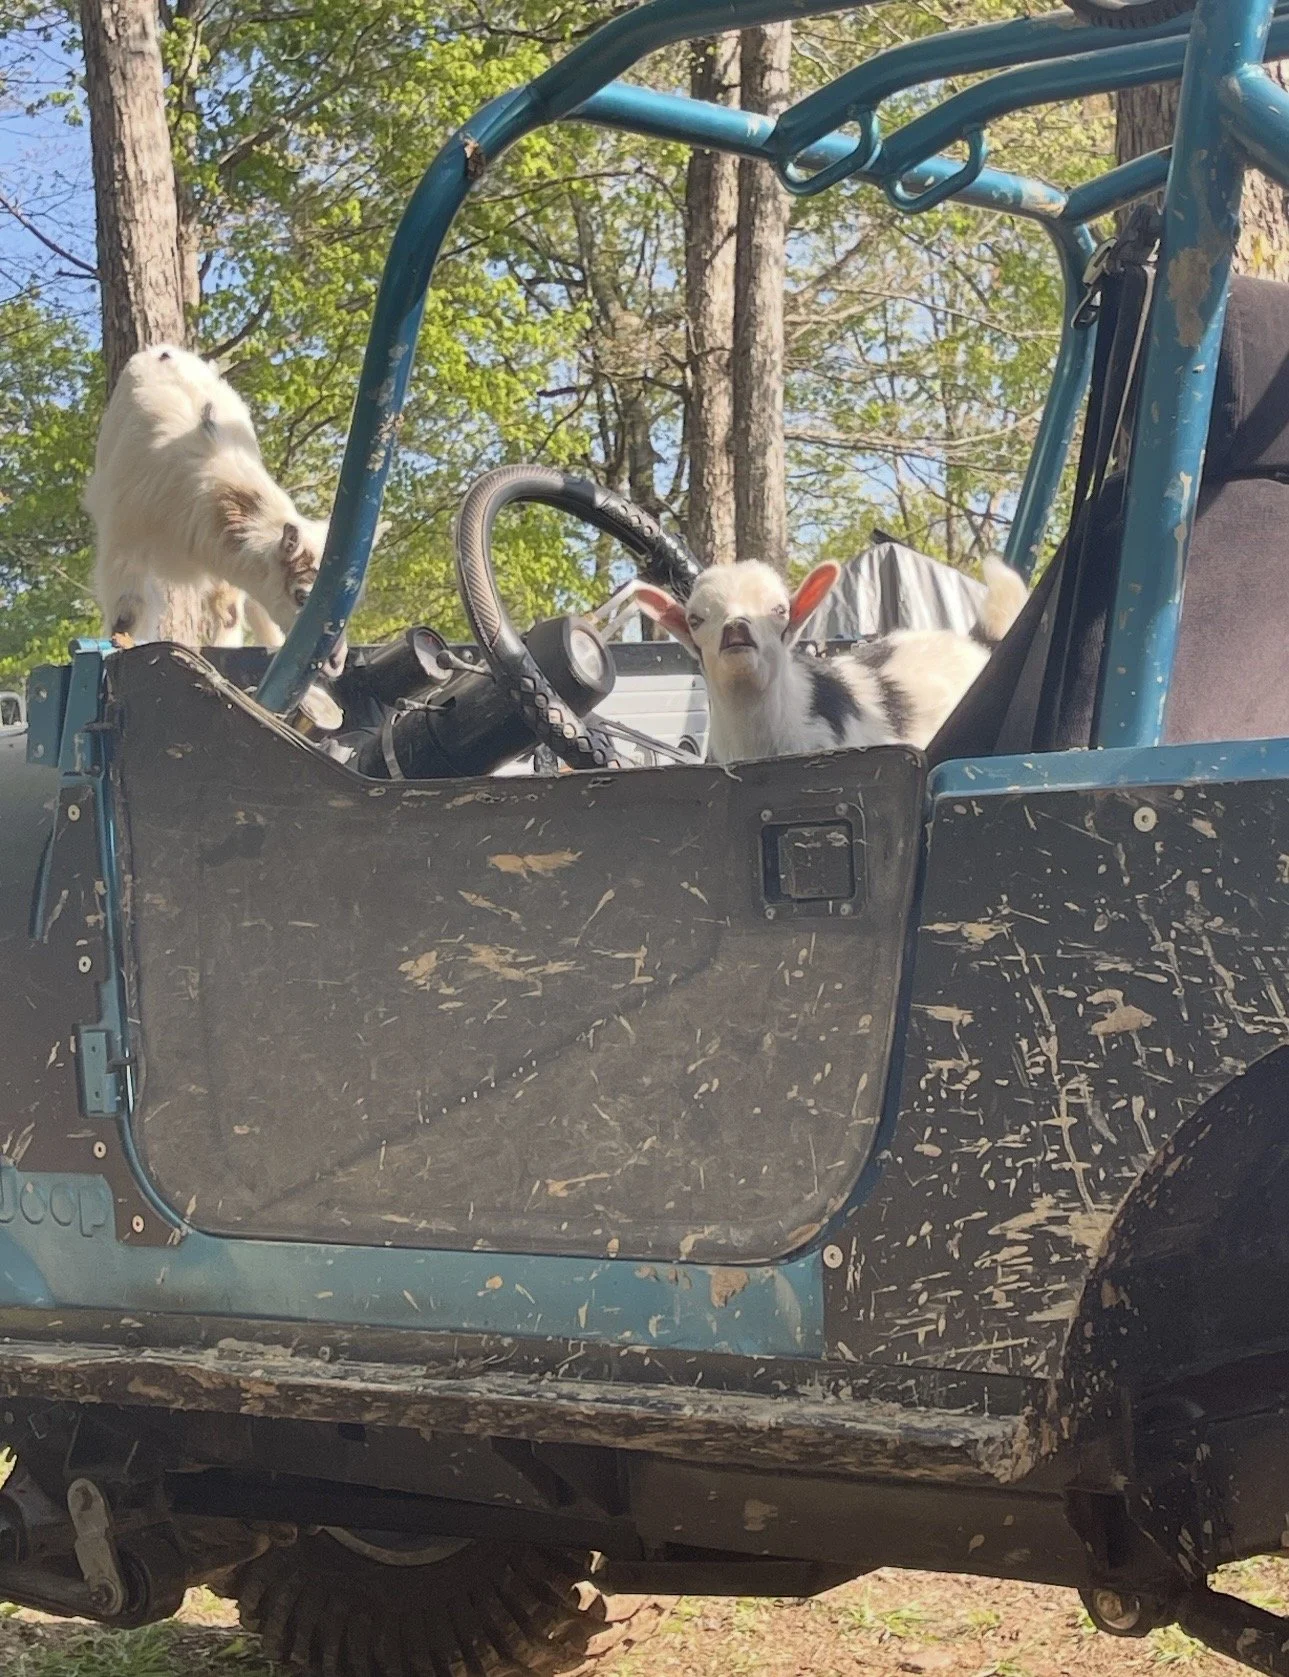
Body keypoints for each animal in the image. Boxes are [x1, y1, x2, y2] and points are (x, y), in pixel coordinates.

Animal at [84, 345, 347, 678]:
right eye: (301, 595)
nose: (336, 662)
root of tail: (161, 350)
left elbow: (229, 611)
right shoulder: (123, 541)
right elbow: (126, 615)